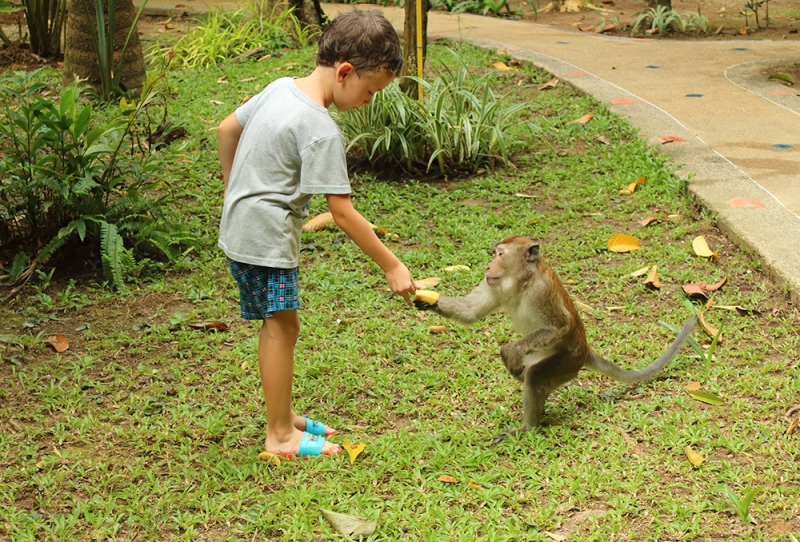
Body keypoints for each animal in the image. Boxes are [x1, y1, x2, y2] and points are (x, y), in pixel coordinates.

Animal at [416, 235, 696, 446]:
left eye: (500, 254)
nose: (488, 266)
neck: (523, 282)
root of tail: (585, 350)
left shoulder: (541, 293)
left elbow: (559, 325)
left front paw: (512, 350)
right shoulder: (492, 284)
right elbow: (472, 311)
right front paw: (426, 300)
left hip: (567, 362)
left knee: (537, 375)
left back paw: (528, 426)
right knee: (529, 374)